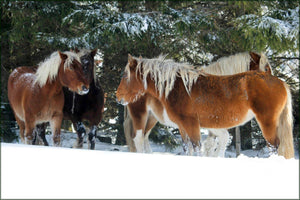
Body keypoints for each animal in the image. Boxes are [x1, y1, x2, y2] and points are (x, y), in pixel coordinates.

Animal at [116, 54, 294, 159]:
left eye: (125, 75)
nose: (118, 96)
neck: (178, 87)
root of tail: (281, 83)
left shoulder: (192, 125)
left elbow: (199, 148)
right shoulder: (185, 126)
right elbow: (191, 148)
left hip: (267, 122)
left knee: (274, 145)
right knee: (140, 138)